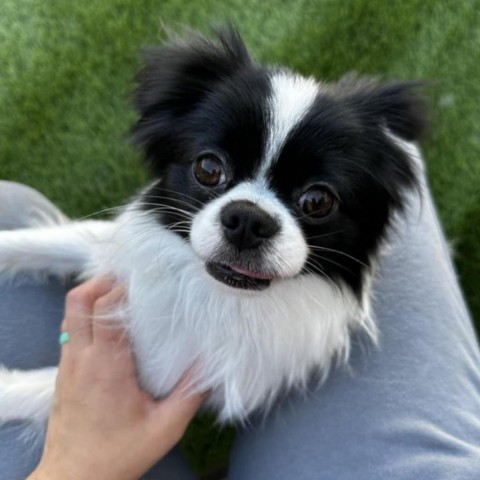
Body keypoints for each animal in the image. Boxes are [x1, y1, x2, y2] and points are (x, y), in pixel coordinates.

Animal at [0, 28, 428, 424]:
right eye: (208, 168)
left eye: (317, 201)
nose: (248, 219)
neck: (214, 292)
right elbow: (49, 240)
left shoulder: (155, 383)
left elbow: (53, 390)